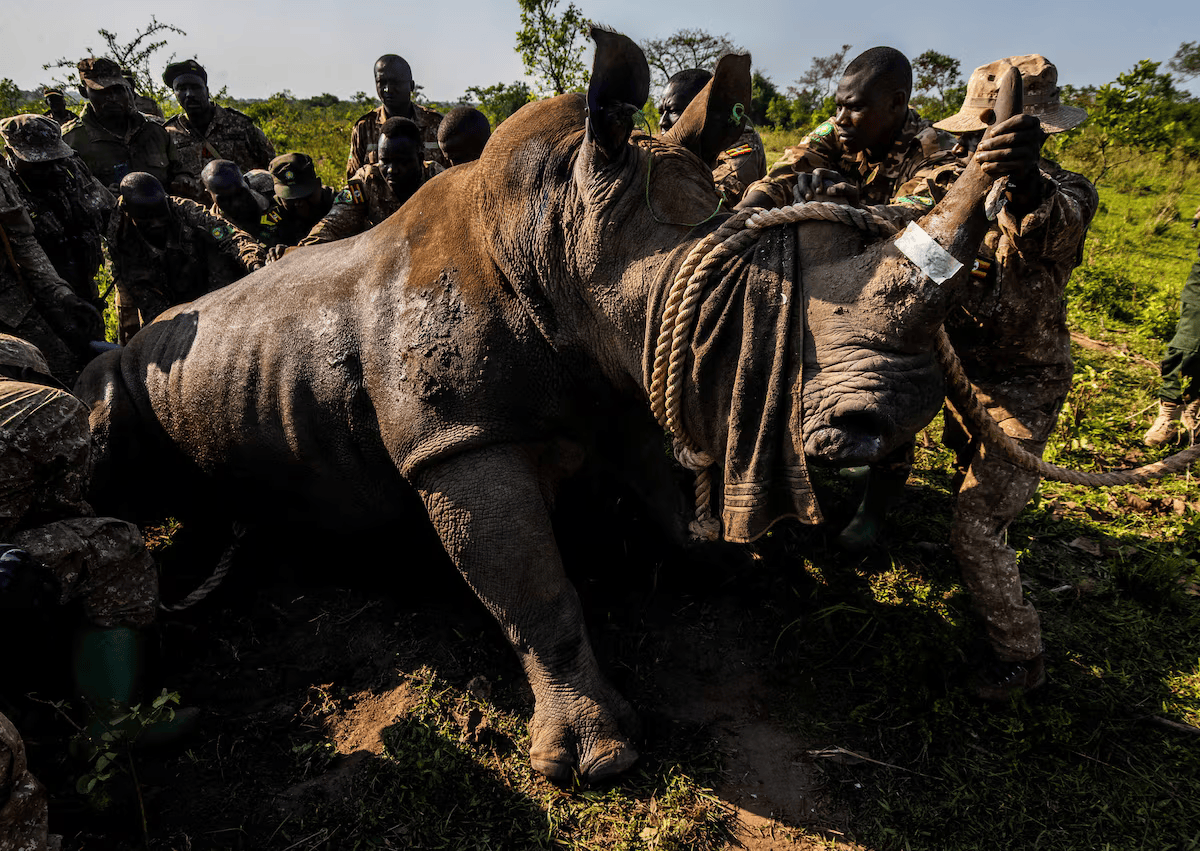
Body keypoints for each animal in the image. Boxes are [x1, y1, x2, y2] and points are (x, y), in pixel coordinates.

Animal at [76, 30, 1019, 783]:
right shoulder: (458, 441)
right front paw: (600, 759)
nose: (896, 416)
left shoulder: (621, 372)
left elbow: (658, 494)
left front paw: (728, 563)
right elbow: (533, 590)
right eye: (746, 302)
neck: (556, 228)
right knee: (98, 433)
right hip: (128, 370)